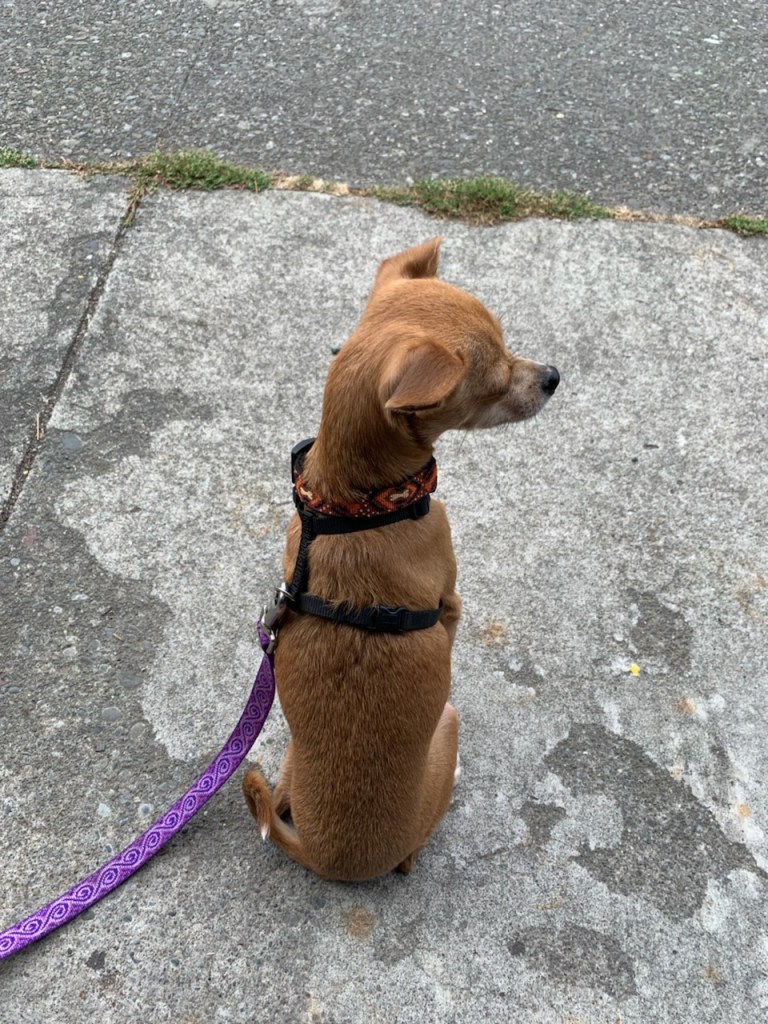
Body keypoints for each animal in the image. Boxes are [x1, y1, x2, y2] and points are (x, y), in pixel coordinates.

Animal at [243, 238, 559, 880]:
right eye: (494, 384)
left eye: (510, 343)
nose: (554, 377)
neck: (354, 505)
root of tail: (323, 852)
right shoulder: (452, 598)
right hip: (448, 730)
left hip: (288, 765)